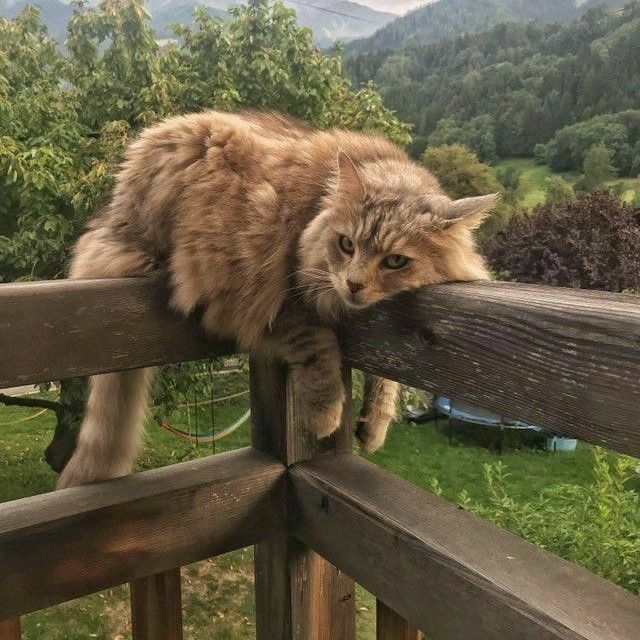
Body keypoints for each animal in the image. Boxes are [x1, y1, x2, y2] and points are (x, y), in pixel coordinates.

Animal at [55, 110, 496, 490]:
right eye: (347, 245)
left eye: (395, 261)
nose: (353, 285)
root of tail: (112, 215)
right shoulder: (274, 304)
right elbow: (322, 349)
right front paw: (325, 417)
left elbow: (387, 377)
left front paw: (374, 425)